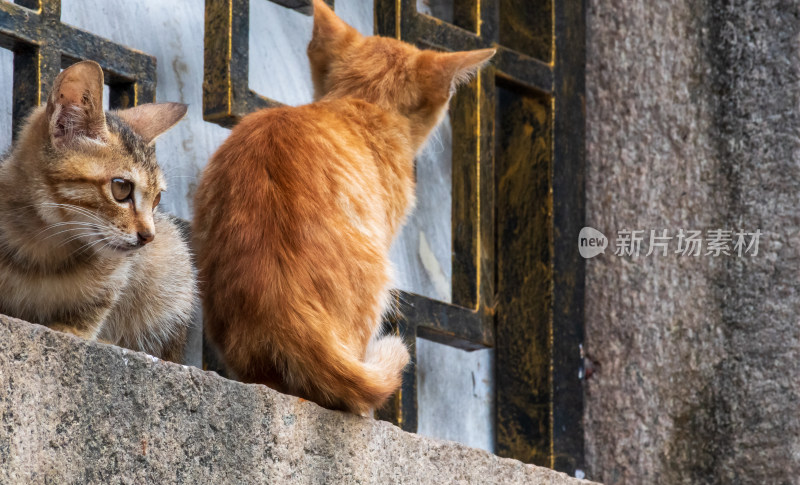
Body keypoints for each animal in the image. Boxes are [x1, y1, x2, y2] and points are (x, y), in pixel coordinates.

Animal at [0, 60, 197, 362]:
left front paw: (74, 330)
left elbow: (95, 306)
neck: (43, 246)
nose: (149, 236)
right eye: (121, 188)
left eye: (157, 199)